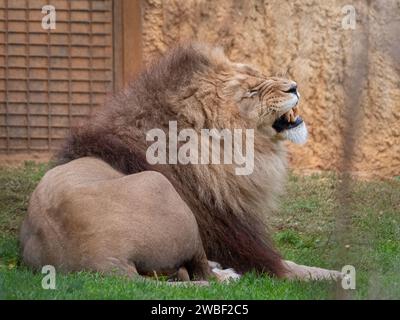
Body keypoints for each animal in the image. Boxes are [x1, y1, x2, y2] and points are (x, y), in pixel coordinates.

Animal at [57, 42, 340, 280]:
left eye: (259, 75)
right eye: (250, 93)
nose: (293, 86)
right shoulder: (244, 251)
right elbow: (297, 269)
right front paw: (338, 275)